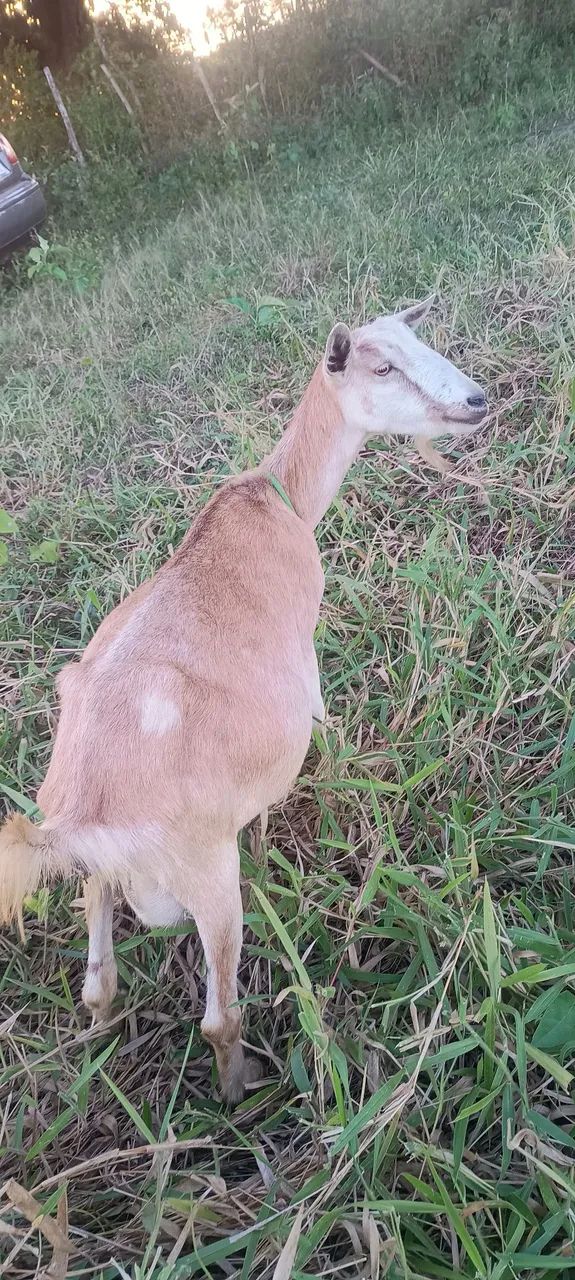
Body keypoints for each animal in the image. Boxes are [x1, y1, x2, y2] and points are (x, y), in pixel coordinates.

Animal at [0, 298, 487, 1101]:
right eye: (382, 366)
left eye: (422, 341)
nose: (475, 402)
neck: (279, 498)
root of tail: (81, 816)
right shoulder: (304, 633)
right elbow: (320, 716)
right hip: (205, 874)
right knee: (217, 1017)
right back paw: (242, 1085)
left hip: (99, 875)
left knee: (98, 982)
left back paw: (99, 1048)